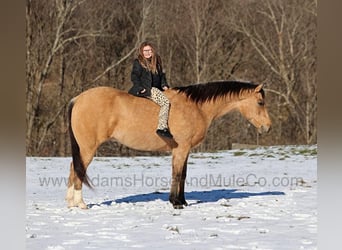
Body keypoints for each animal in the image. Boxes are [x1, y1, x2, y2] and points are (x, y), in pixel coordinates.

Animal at [65, 80, 272, 209]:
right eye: (260, 102)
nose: (268, 127)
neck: (196, 107)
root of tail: (78, 99)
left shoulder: (184, 150)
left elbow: (183, 175)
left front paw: (183, 201)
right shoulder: (181, 149)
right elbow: (177, 174)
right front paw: (176, 202)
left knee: (73, 168)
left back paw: (71, 203)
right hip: (87, 149)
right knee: (79, 169)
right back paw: (80, 203)